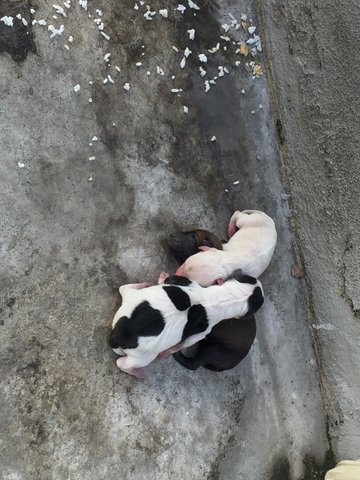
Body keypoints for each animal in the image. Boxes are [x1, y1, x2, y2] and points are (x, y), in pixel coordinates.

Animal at [108, 270, 262, 378]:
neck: (225, 298)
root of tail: (118, 335)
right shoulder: (200, 333)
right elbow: (184, 343)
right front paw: (173, 349)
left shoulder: (183, 282)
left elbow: (170, 279)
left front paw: (162, 278)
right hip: (144, 357)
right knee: (122, 364)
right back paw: (137, 373)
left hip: (132, 299)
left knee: (124, 288)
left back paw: (139, 285)